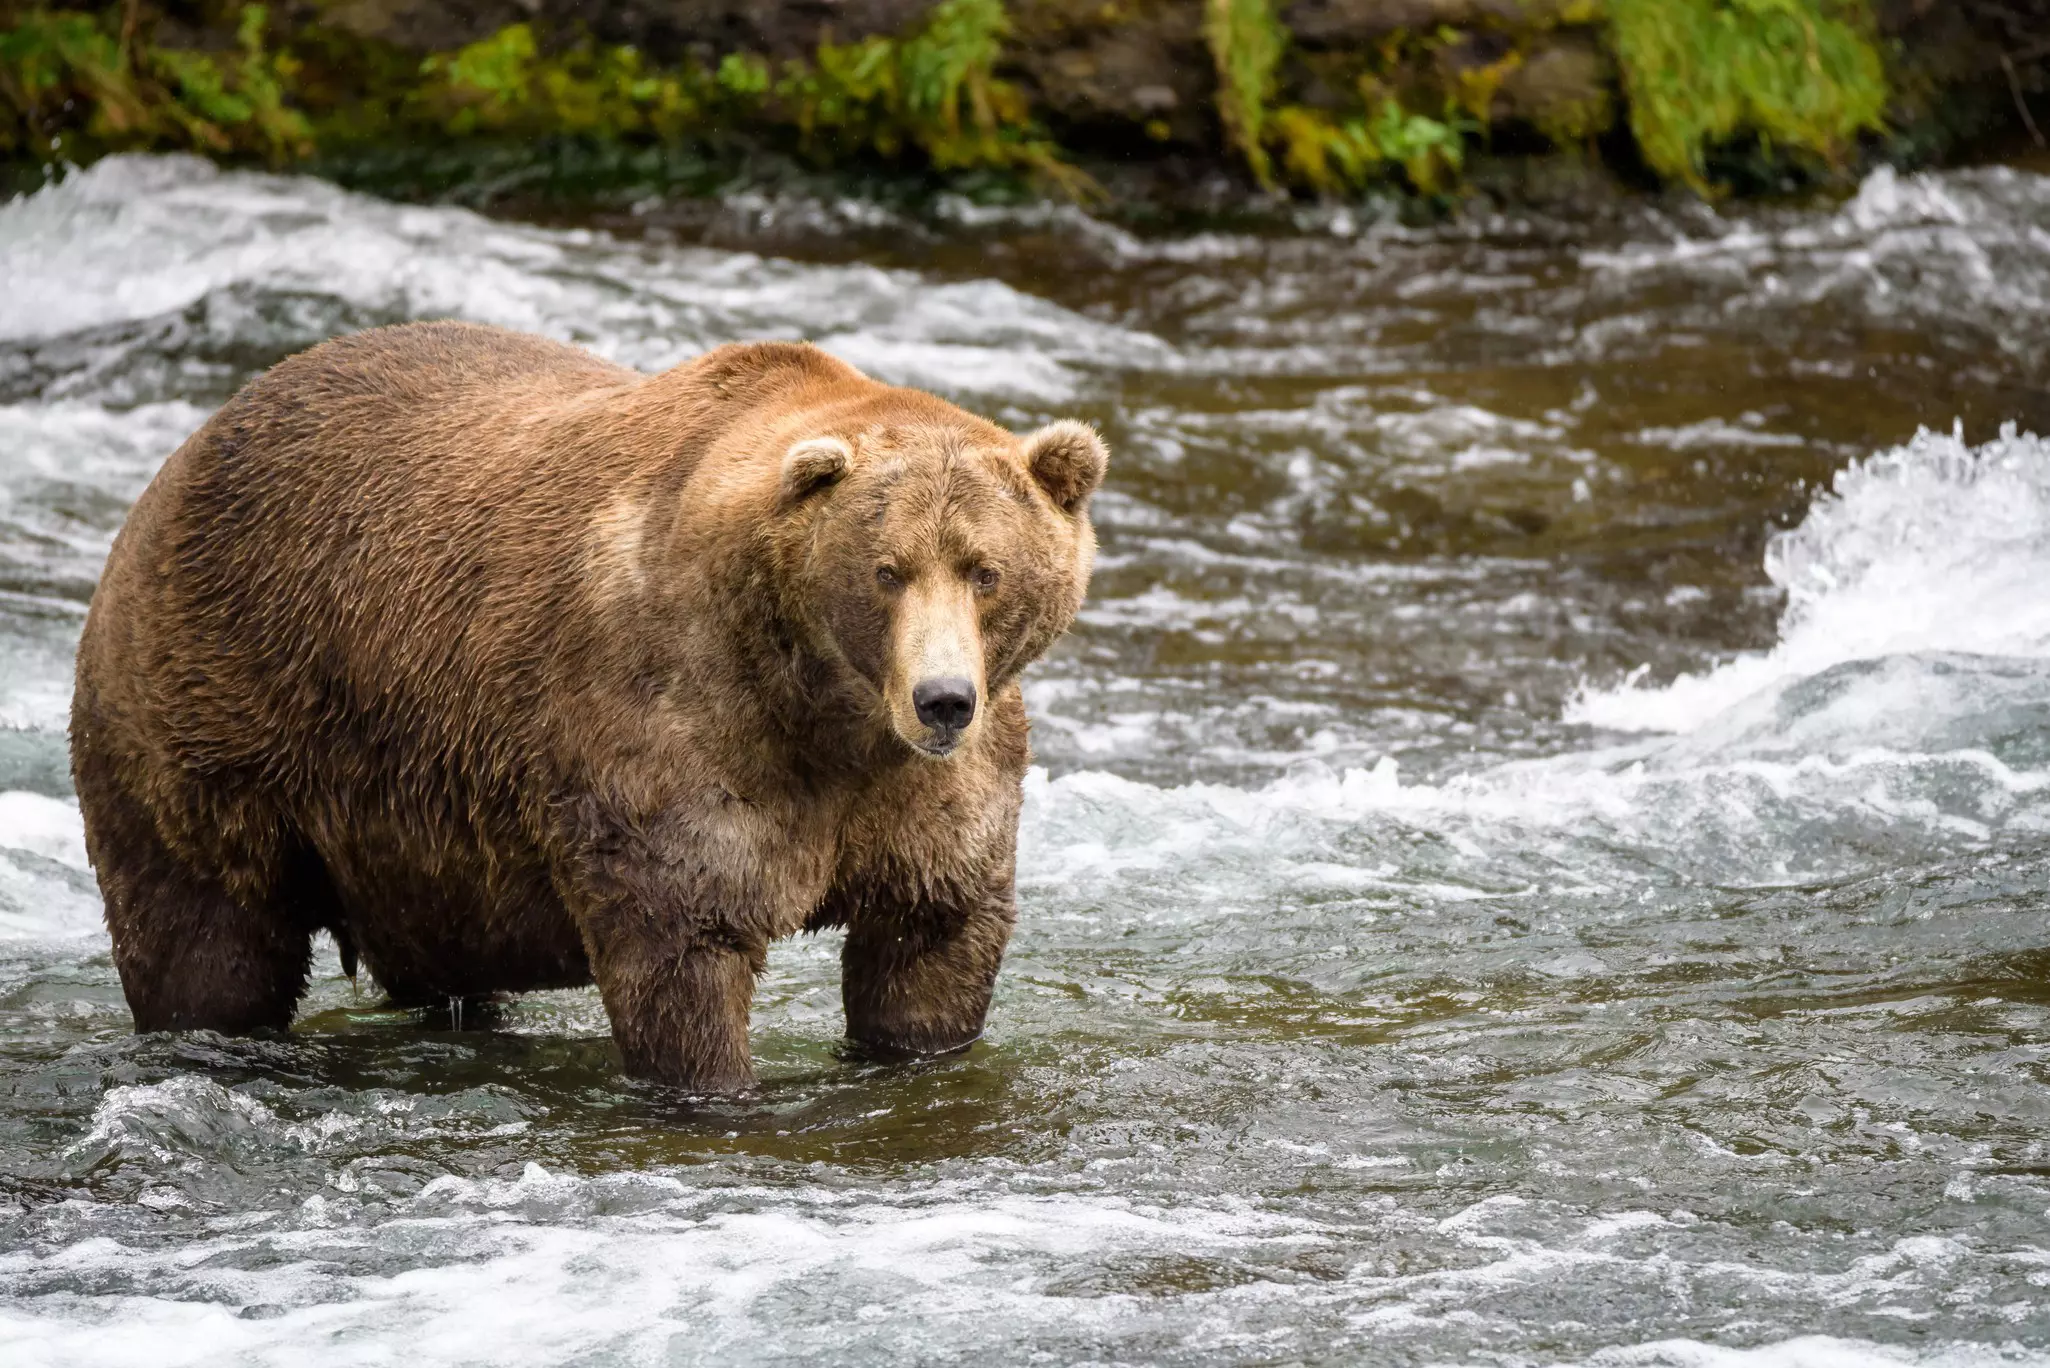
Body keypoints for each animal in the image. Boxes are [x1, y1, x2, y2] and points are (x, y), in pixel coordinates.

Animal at [69, 320, 1107, 1092]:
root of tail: (183, 456)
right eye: (886, 571)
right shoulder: (673, 724)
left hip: (407, 831)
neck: (824, 710)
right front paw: (713, 1083)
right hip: (213, 711)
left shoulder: (929, 797)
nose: (943, 701)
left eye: (985, 569)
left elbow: (932, 942)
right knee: (207, 936)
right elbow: (683, 946)